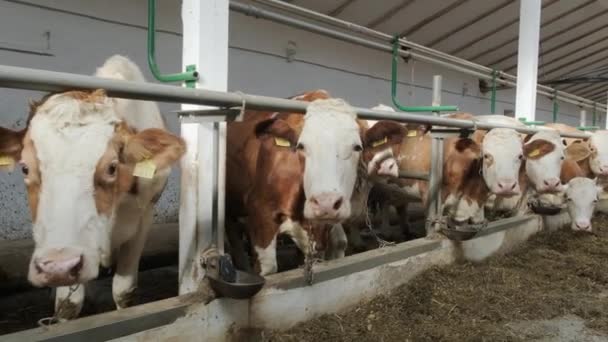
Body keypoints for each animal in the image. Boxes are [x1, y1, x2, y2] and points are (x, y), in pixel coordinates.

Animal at [0, 54, 185, 320]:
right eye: (25, 168)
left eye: (112, 167)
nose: (57, 266)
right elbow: (68, 303)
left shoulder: (144, 216)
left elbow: (123, 290)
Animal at [224, 90, 364, 276]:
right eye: (301, 146)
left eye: (357, 147)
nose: (325, 202)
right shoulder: (260, 211)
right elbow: (268, 268)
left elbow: (337, 246)